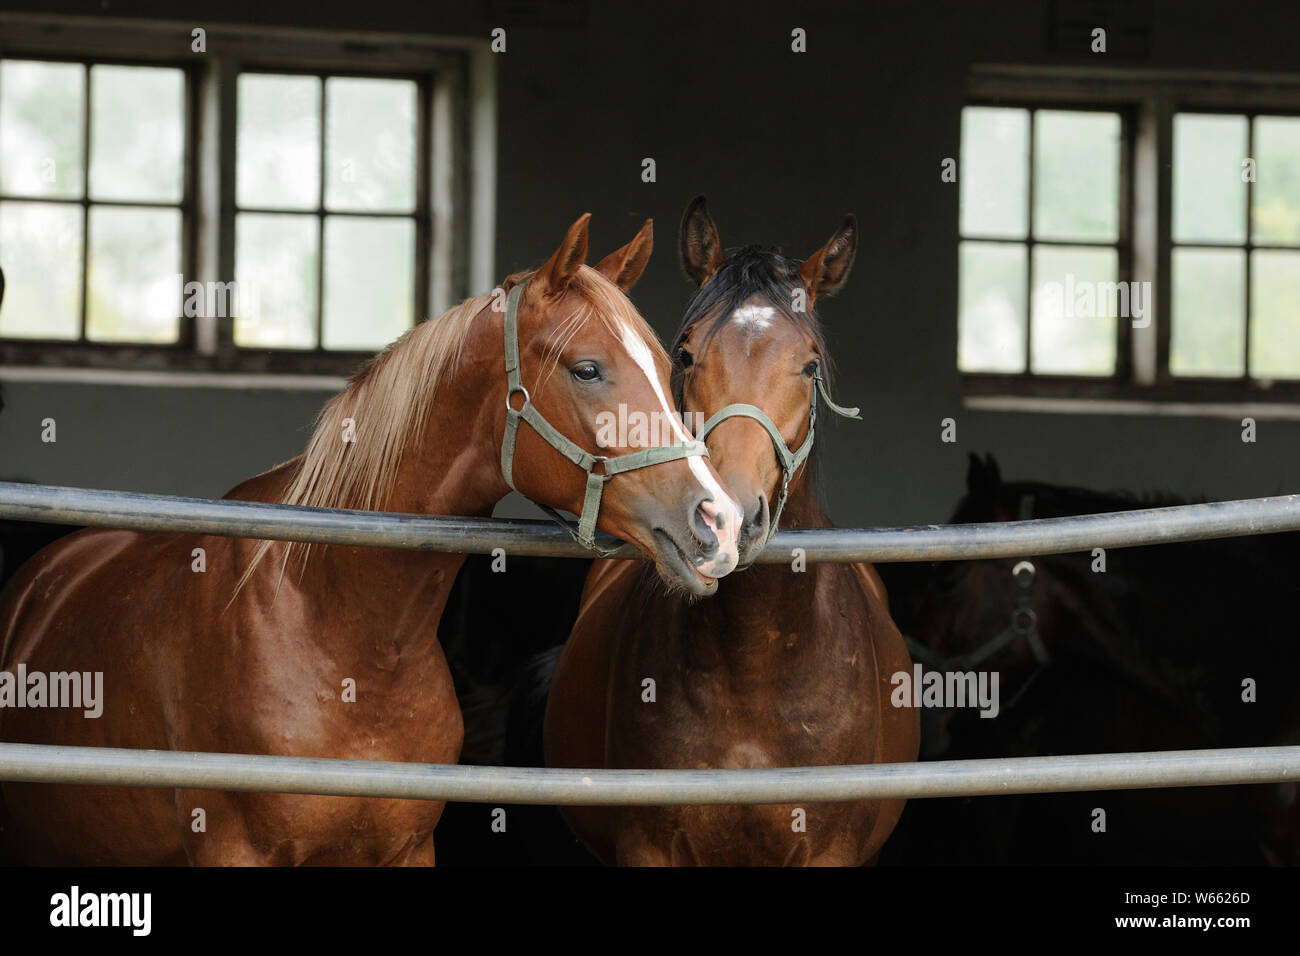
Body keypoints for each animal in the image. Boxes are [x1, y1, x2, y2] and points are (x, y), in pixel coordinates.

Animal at [0, 214, 743, 868]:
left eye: (666, 366)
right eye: (587, 369)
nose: (717, 522)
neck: (347, 636)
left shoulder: (407, 848)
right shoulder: (234, 848)